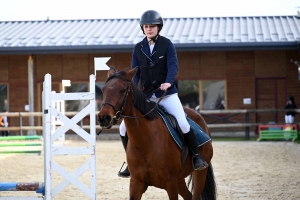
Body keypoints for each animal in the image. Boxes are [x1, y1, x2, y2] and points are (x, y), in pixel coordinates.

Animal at [97, 67, 217, 200]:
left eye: (122, 90)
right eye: (103, 90)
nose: (103, 118)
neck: (144, 142)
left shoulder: (170, 183)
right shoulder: (136, 183)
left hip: (200, 174)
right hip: (180, 179)